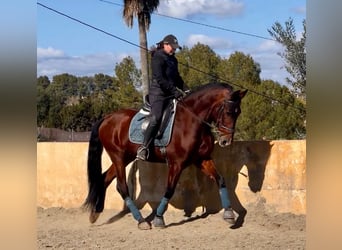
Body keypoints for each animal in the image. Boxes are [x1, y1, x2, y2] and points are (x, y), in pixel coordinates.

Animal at [84, 81, 247, 229]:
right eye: (228, 112)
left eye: (238, 112)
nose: (226, 141)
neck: (192, 121)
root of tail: (107, 118)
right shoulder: (177, 164)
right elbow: (169, 190)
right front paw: (158, 218)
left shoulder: (202, 159)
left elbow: (221, 180)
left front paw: (229, 214)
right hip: (118, 157)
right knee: (122, 187)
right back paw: (141, 221)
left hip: (125, 158)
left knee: (105, 179)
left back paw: (95, 214)